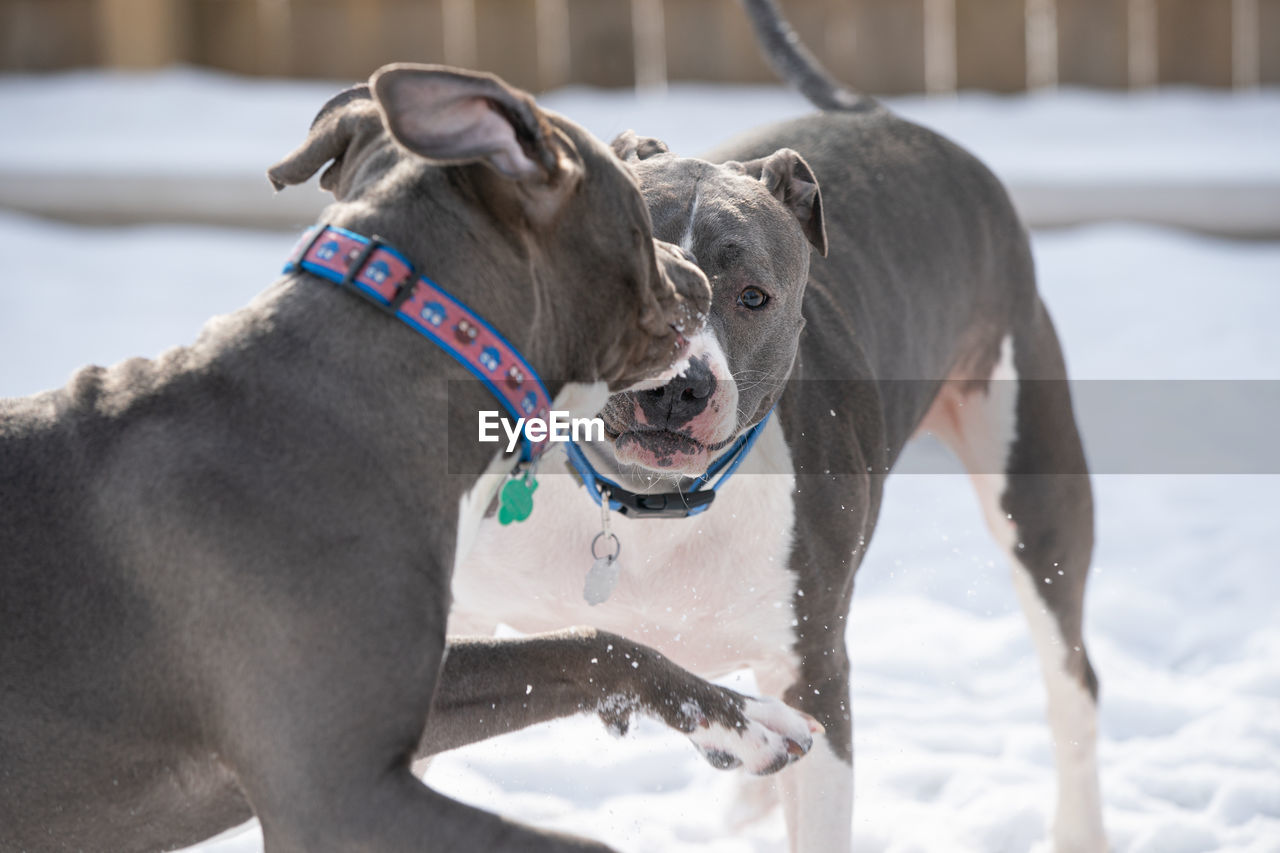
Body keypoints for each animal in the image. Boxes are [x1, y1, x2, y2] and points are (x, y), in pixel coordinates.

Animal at [448, 3, 1100, 845]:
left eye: (751, 296)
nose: (677, 388)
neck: (645, 507)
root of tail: (888, 117)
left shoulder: (814, 670)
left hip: (1034, 484)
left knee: (1071, 676)